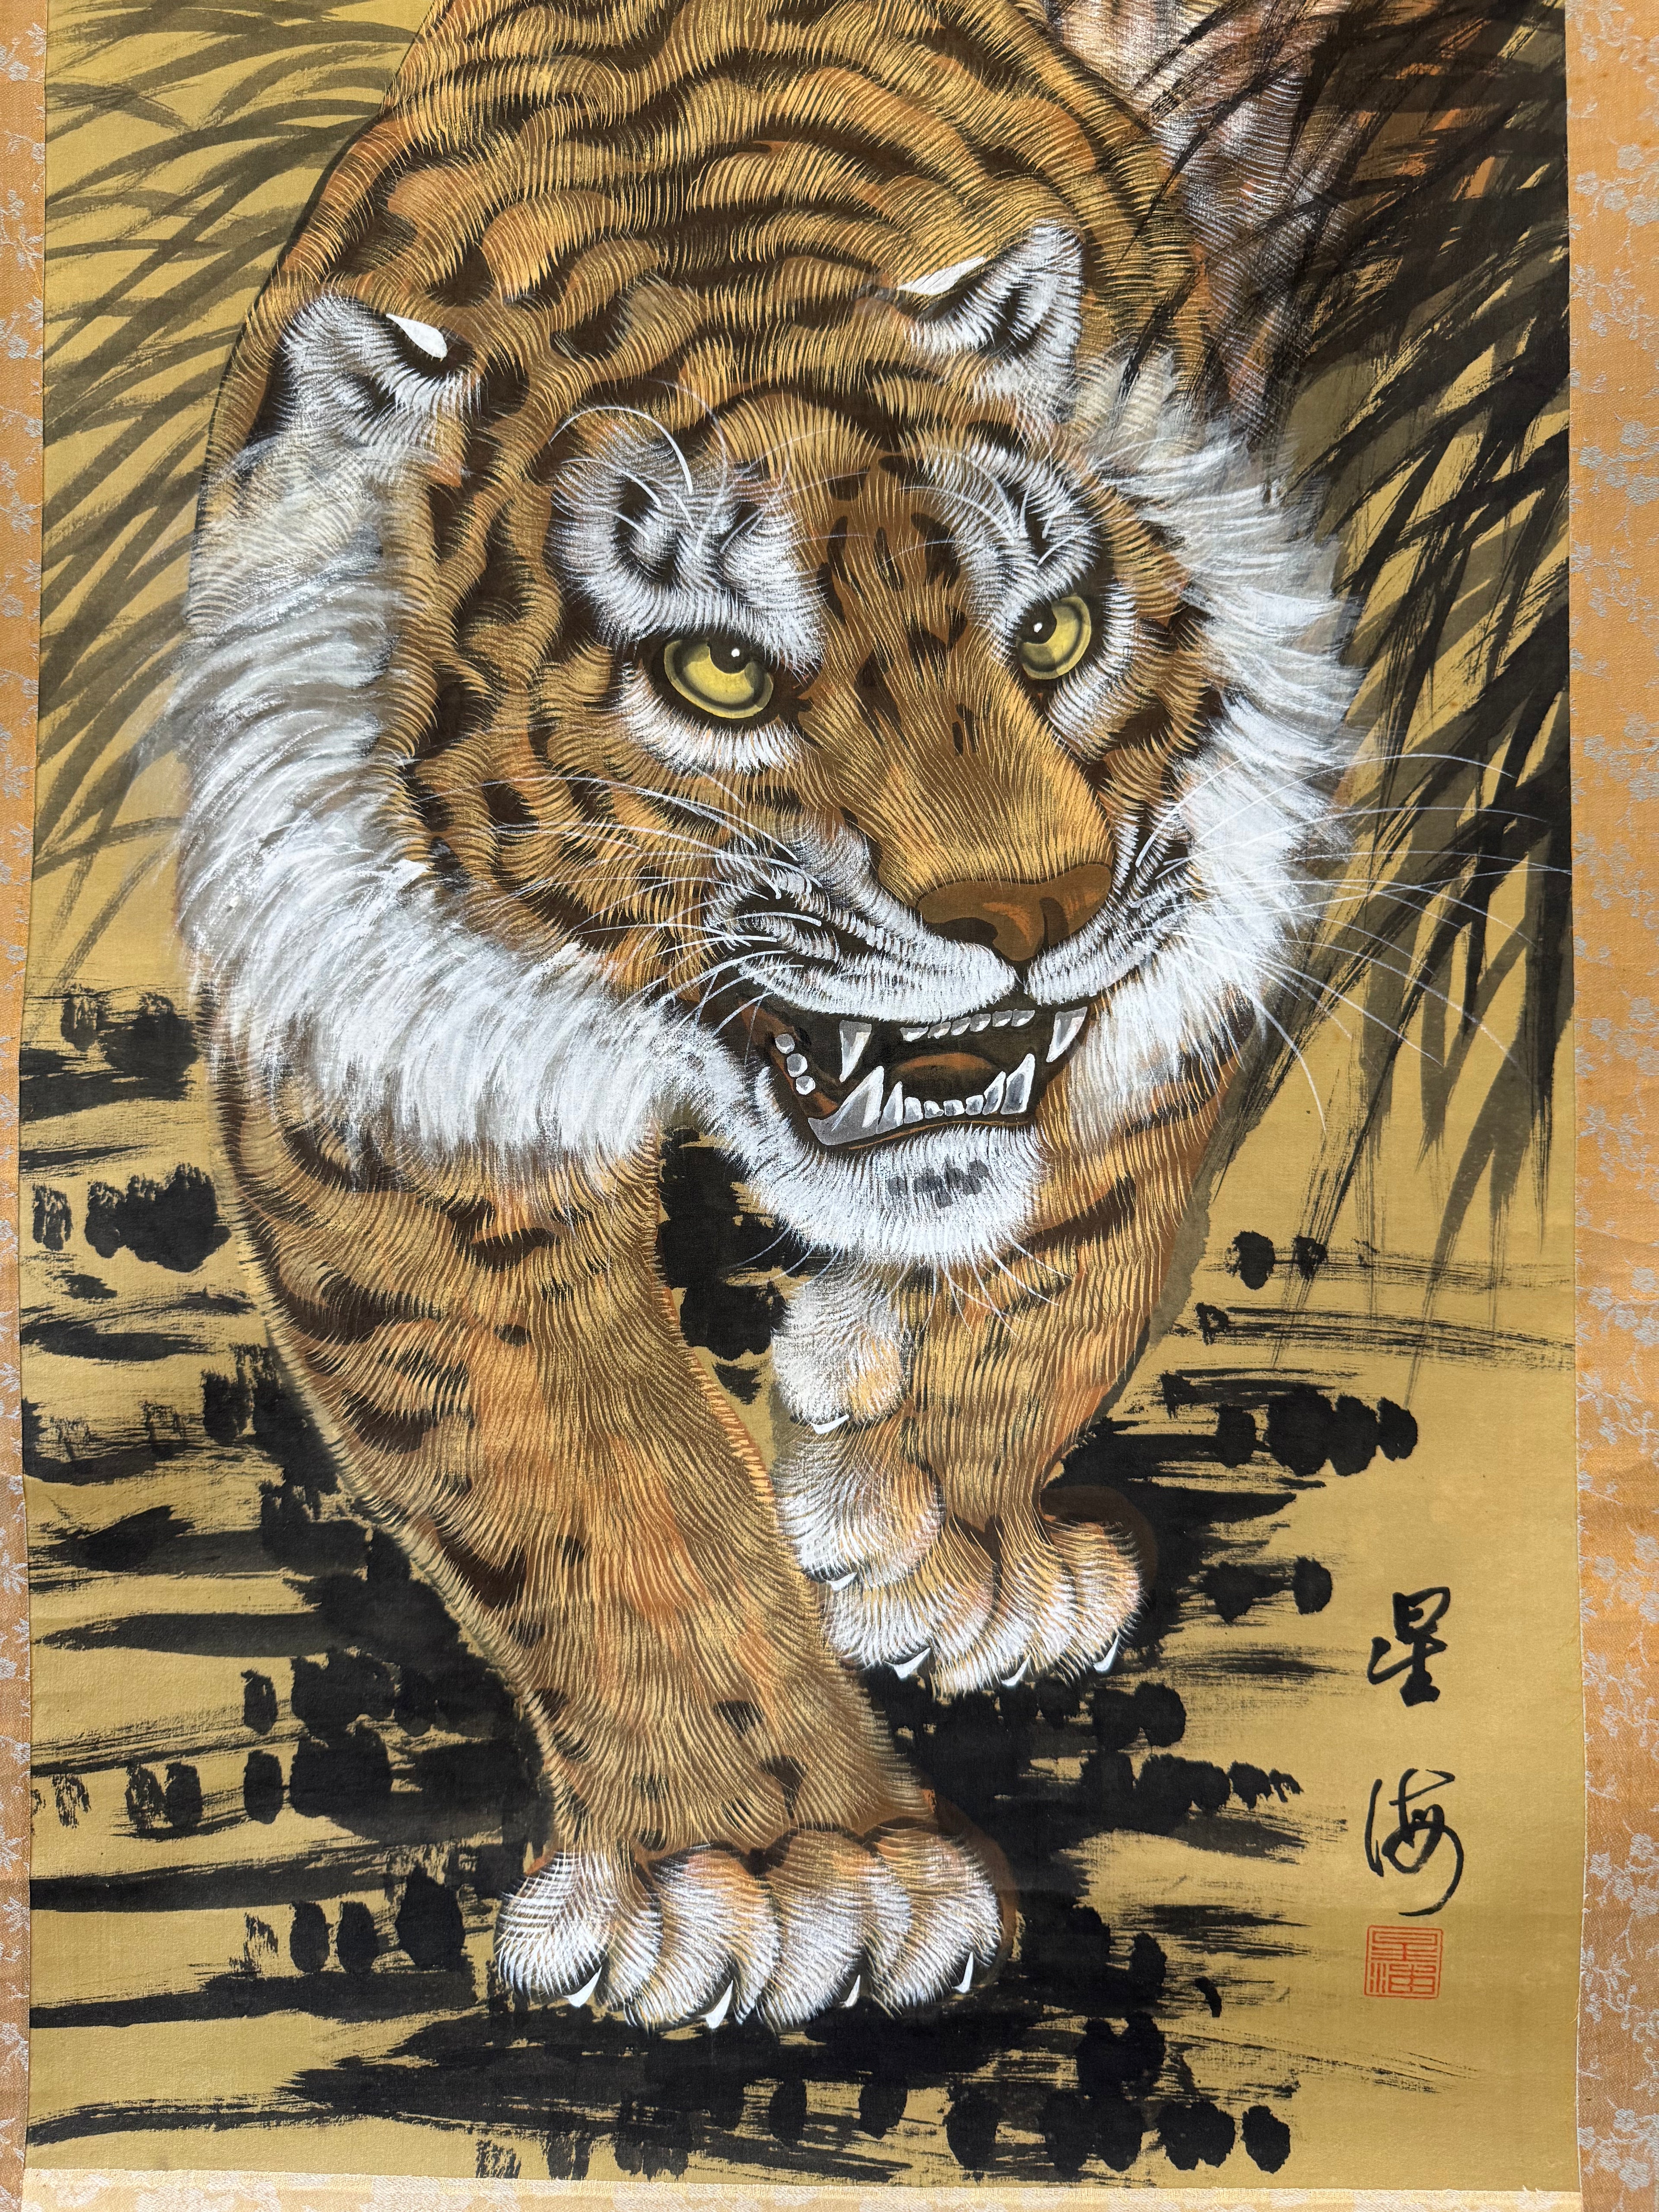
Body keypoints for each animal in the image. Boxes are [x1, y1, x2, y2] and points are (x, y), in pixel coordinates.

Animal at [172, 0, 1356, 2032]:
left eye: (1050, 637)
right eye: (720, 675)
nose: (1032, 913)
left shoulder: (1202, 895)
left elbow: (1089, 1232)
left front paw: (927, 1525)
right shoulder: (393, 1077)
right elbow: (595, 1476)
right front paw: (773, 1867)